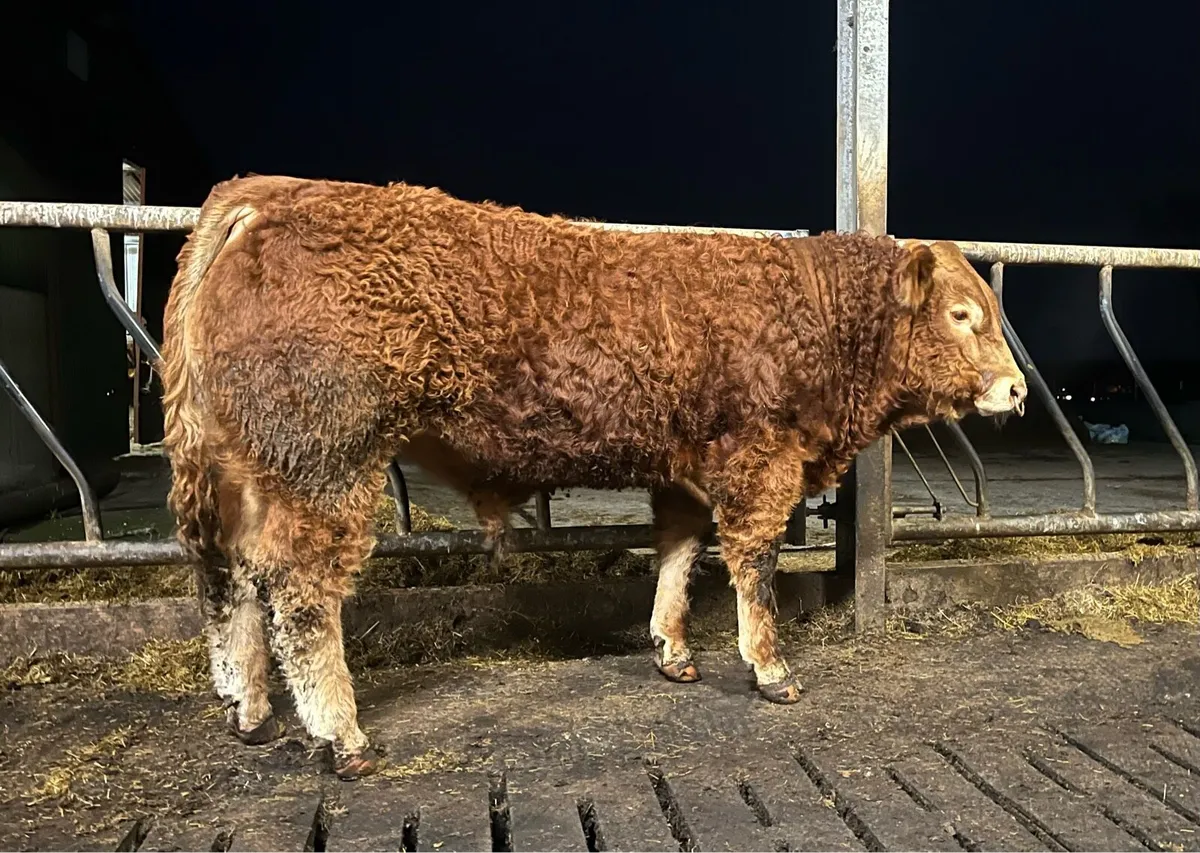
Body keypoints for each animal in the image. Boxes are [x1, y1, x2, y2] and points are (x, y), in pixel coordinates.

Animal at [160, 174, 1027, 779]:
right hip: (326, 458)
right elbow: (754, 563)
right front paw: (770, 666)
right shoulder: (760, 458)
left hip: (237, 465)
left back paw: (250, 709)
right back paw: (341, 735)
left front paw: (672, 649)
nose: (1017, 389)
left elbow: (678, 552)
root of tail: (265, 193)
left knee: (226, 574)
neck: (814, 314)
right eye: (961, 315)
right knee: (301, 591)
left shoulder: (686, 466)